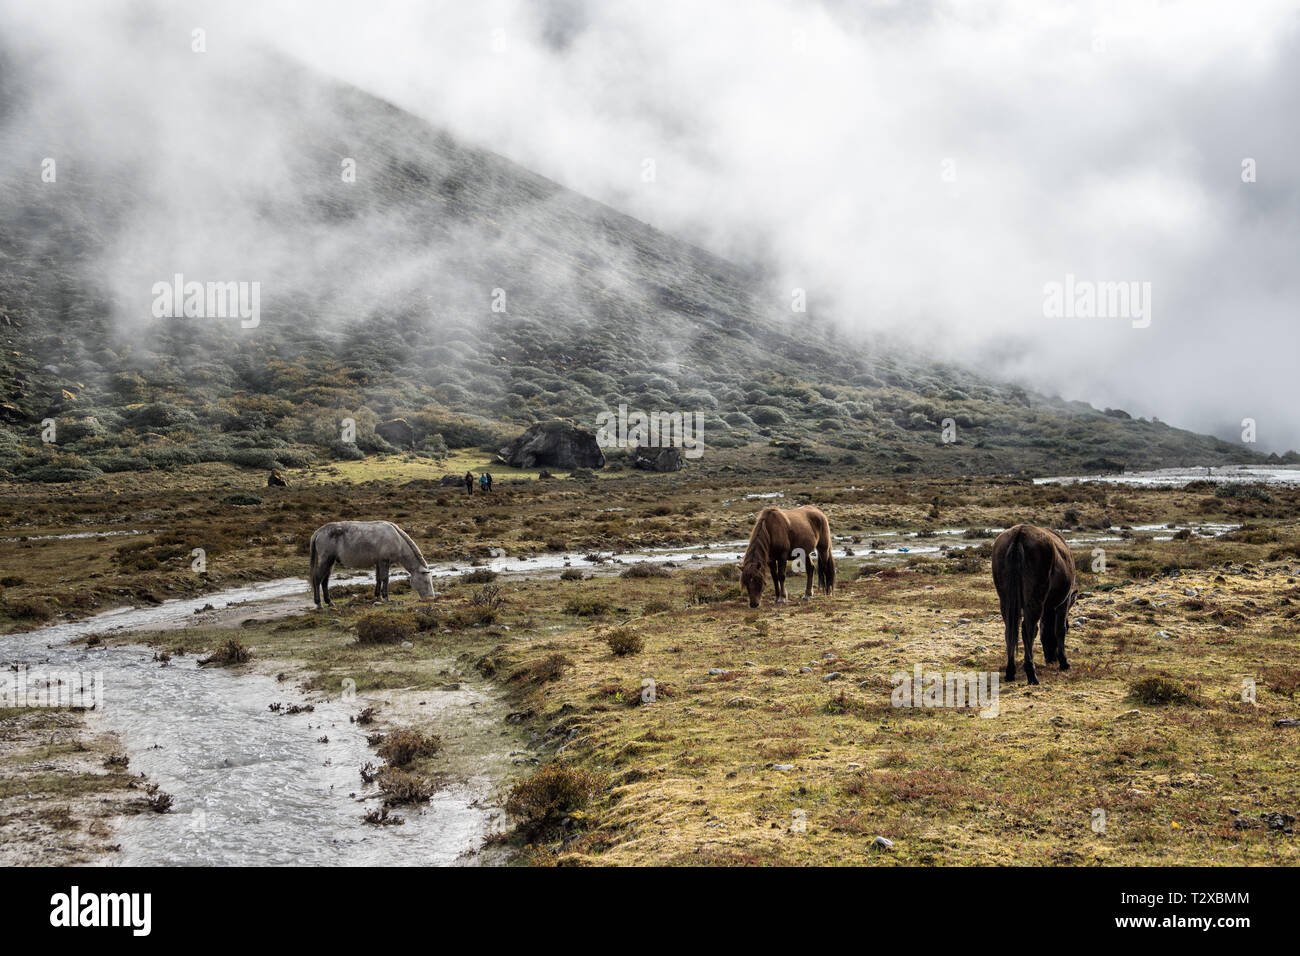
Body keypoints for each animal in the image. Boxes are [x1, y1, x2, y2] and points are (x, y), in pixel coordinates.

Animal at [993, 522, 1076, 686]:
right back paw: (1031, 673)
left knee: (1010, 630)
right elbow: (1060, 630)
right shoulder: (1063, 604)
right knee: (1028, 630)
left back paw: (1010, 671)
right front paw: (1064, 662)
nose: (1051, 658)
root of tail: (1019, 534)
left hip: (1006, 601)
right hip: (1035, 599)